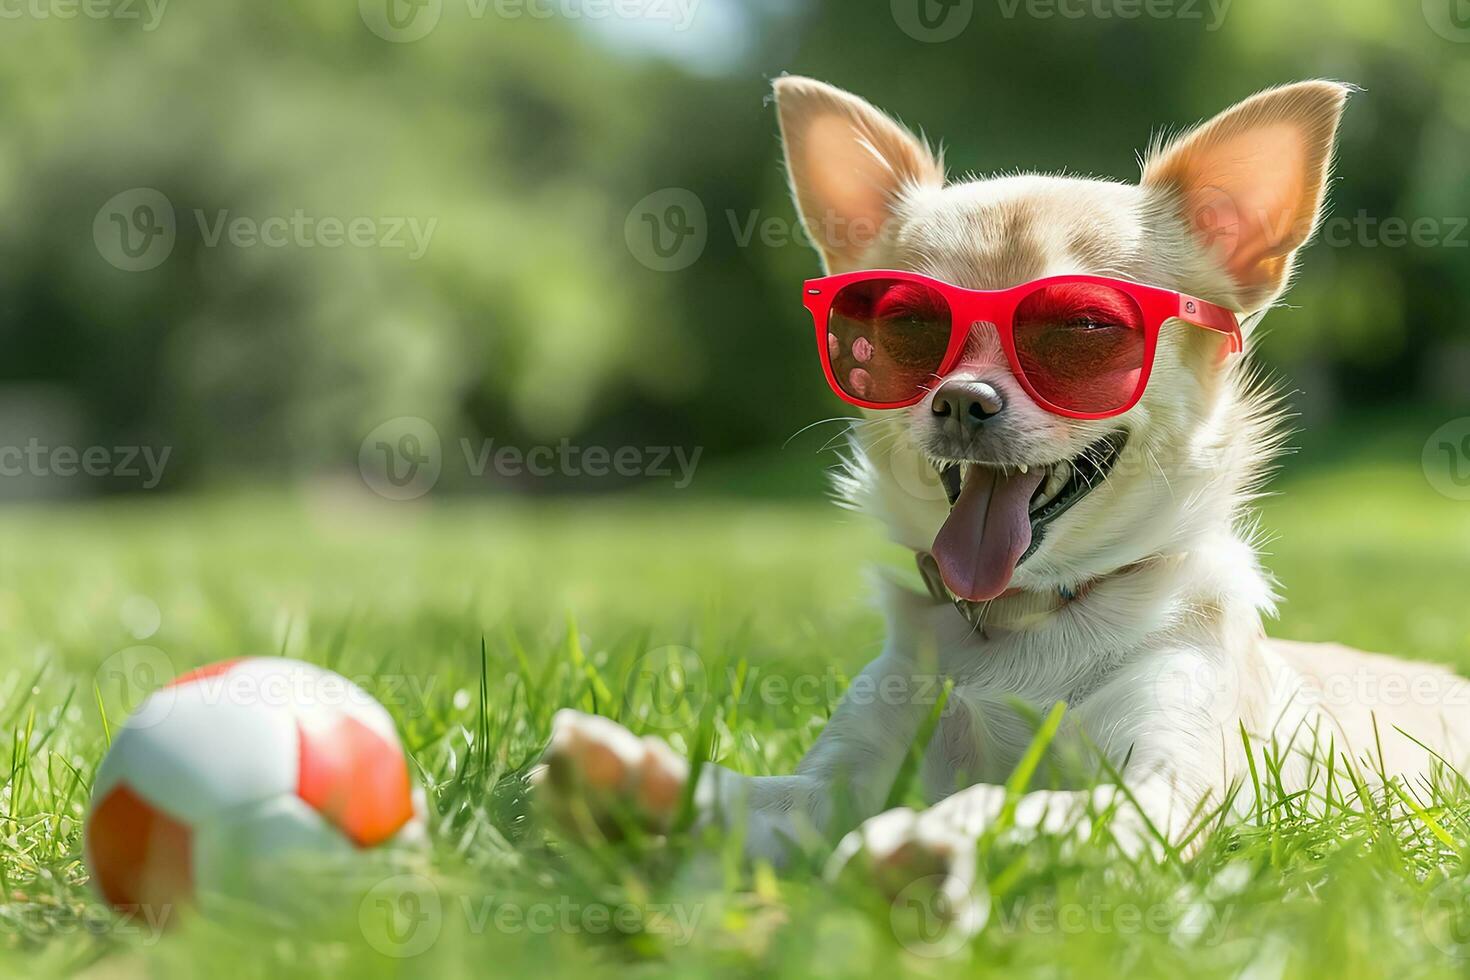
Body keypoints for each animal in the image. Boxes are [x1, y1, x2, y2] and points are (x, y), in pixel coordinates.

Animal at [535, 80, 1470, 916]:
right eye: (907, 325)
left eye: (1084, 329)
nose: (959, 400)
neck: (1024, 619)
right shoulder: (840, 780)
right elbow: (765, 798)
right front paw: (641, 785)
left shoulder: (1156, 796)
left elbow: (1012, 800)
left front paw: (928, 838)